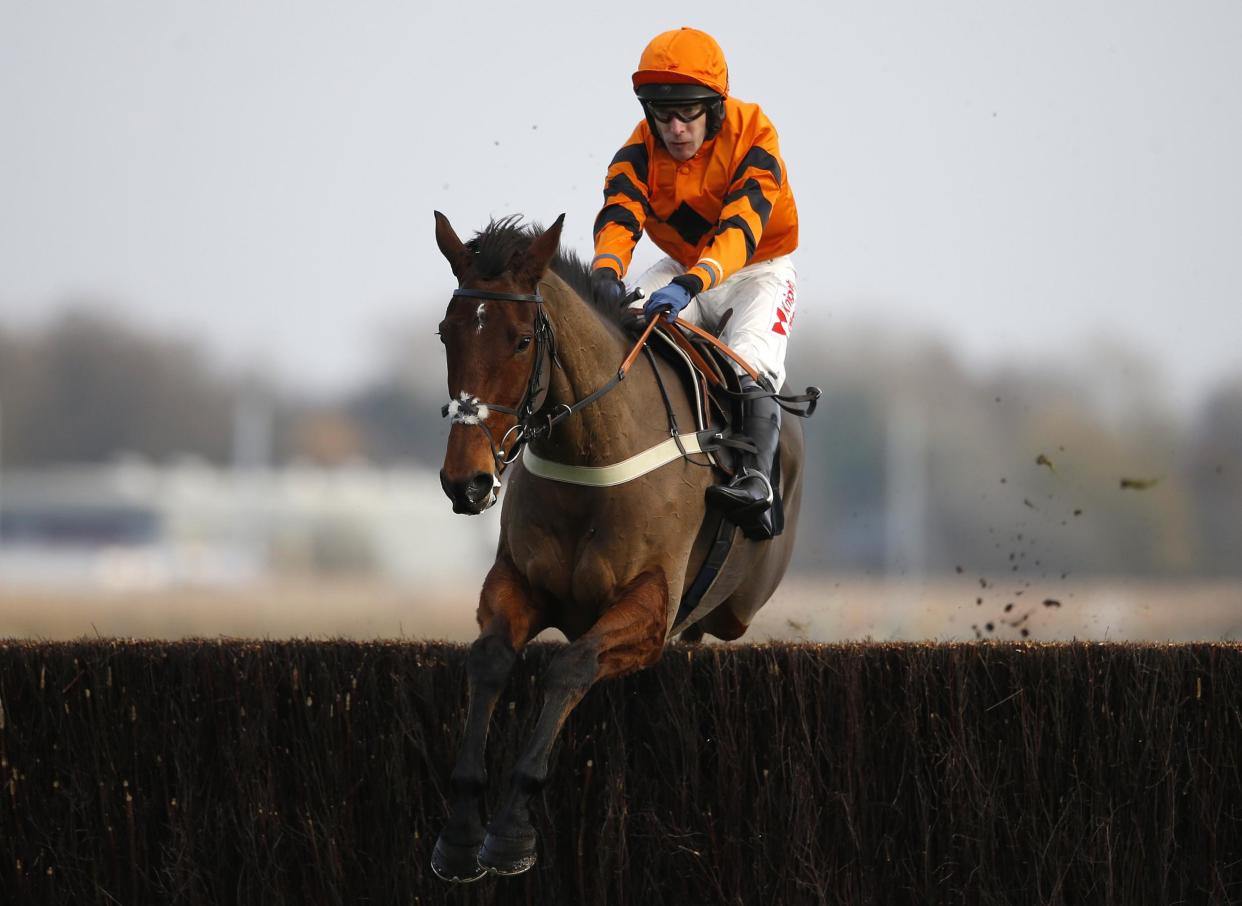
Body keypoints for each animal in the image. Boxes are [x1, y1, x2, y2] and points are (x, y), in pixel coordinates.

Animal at [432, 210, 809, 874]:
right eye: (446, 335)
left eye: (521, 340)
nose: (467, 480)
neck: (592, 450)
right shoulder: (514, 581)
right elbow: (490, 659)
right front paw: (460, 830)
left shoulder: (652, 610)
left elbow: (570, 666)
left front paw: (511, 829)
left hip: (735, 609)